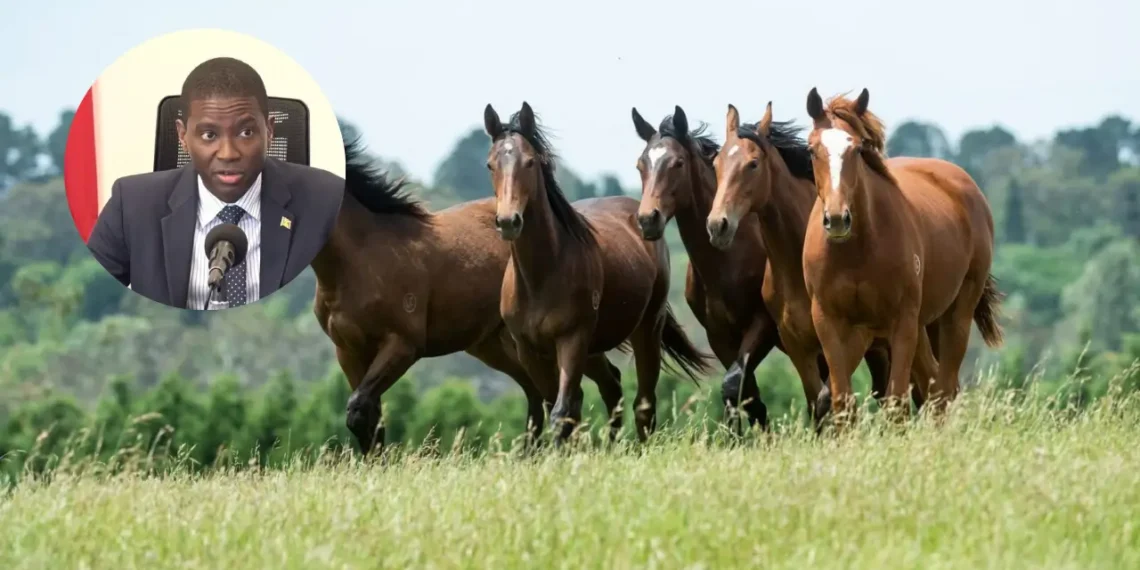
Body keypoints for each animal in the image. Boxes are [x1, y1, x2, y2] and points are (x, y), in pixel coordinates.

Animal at [311, 138, 630, 455]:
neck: (363, 255)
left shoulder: (403, 345)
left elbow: (359, 408)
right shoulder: (348, 351)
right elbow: (368, 415)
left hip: (573, 339)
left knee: (602, 382)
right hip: (496, 344)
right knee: (537, 392)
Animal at [483, 101, 715, 442]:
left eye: (530, 162)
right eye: (491, 164)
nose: (508, 221)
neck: (541, 275)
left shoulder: (572, 340)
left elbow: (562, 410)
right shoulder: (529, 350)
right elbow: (558, 405)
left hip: (646, 328)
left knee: (642, 401)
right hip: (593, 350)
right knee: (612, 386)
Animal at [630, 104, 831, 430]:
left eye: (678, 163)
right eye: (641, 165)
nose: (648, 219)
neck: (727, 263)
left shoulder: (763, 326)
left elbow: (736, 385)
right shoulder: (719, 336)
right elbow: (743, 394)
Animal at [704, 103, 923, 423]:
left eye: (753, 164)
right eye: (716, 164)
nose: (717, 225)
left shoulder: (848, 338)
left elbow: (830, 399)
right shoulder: (799, 344)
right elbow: (817, 403)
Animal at [797, 88, 1004, 424]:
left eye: (857, 149)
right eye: (812, 150)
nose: (838, 219)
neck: (856, 252)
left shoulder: (901, 321)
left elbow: (896, 402)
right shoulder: (830, 321)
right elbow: (841, 401)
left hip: (955, 315)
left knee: (944, 387)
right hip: (918, 327)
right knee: (933, 386)